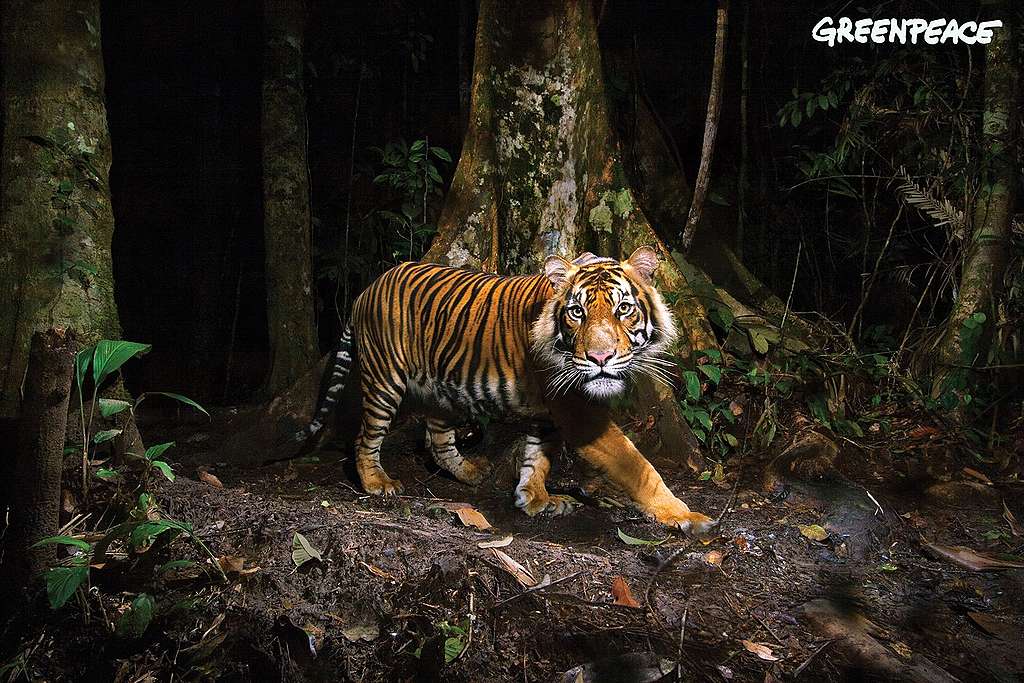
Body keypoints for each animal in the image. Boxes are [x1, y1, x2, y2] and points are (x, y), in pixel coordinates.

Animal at [294, 246, 714, 533]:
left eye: (623, 309)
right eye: (576, 312)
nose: (599, 357)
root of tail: (366, 290)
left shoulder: (550, 411)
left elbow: (537, 458)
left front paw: (535, 499)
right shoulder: (578, 411)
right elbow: (638, 466)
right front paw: (685, 515)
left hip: (443, 389)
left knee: (437, 438)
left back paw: (470, 472)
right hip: (385, 379)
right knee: (365, 437)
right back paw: (377, 483)